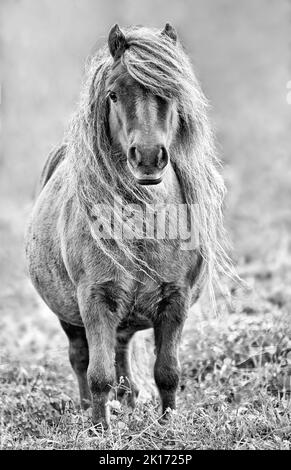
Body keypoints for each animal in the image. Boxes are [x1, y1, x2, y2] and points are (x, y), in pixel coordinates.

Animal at [26, 23, 234, 428]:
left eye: (172, 92)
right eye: (113, 94)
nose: (149, 157)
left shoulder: (175, 301)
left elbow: (167, 372)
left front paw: (168, 424)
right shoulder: (95, 300)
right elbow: (98, 375)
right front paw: (100, 429)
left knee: (121, 354)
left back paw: (130, 404)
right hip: (71, 316)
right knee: (81, 359)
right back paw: (87, 409)